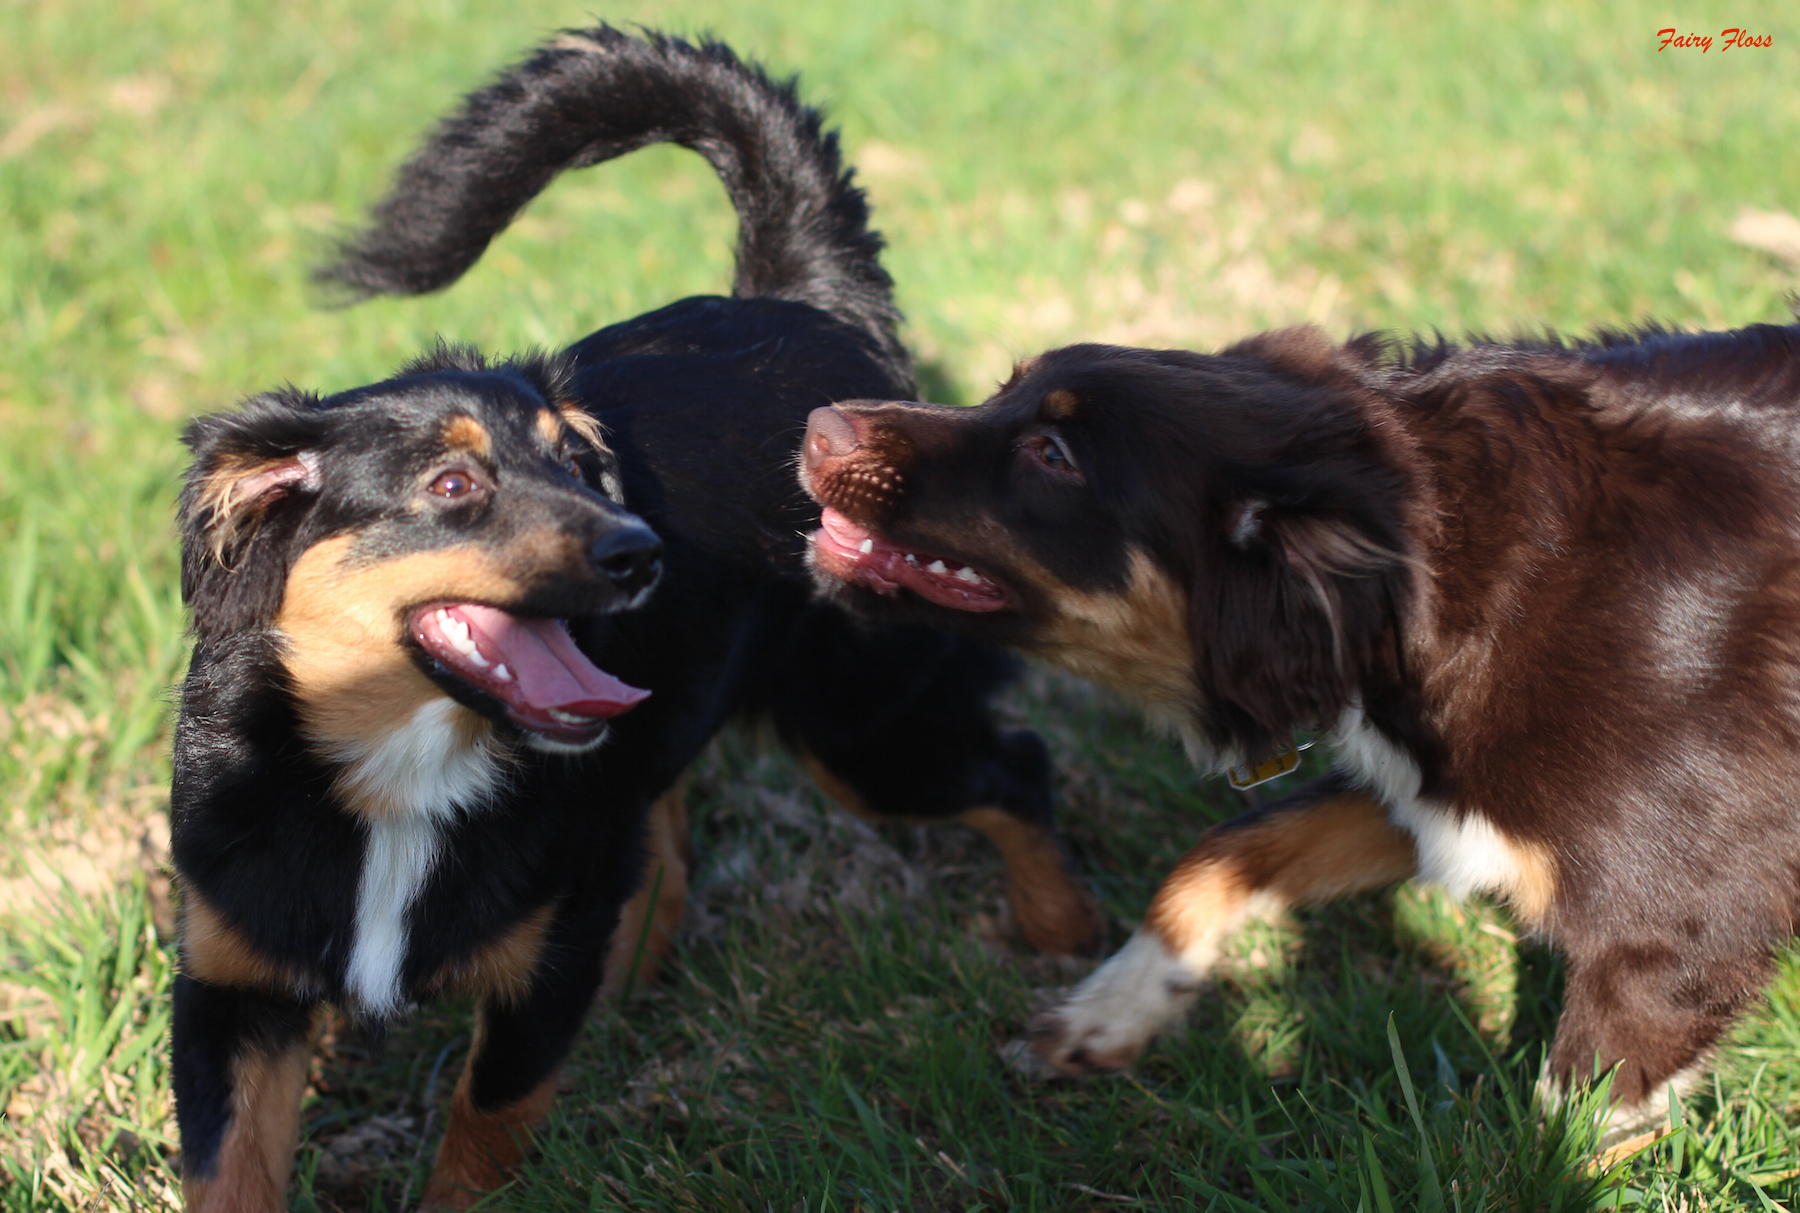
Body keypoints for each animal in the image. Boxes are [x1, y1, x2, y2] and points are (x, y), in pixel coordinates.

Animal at [171, 30, 1094, 1209]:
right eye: (453, 486)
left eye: (578, 461)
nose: (639, 550)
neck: (398, 772)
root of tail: (800, 302)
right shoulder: (232, 985)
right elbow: (231, 1168)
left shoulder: (539, 966)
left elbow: (482, 1135)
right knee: (664, 835)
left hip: (861, 725)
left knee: (1014, 768)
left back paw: (1067, 938)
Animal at [802, 320, 1800, 1123]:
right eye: (1001, 390)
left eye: (1052, 453)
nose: (813, 426)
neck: (1424, 586)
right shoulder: (1426, 797)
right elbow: (1221, 850)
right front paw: (1103, 1016)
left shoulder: (1670, 940)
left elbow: (1562, 1135)